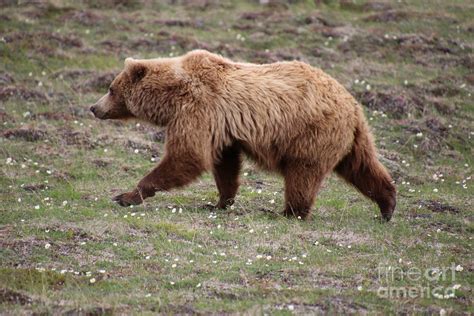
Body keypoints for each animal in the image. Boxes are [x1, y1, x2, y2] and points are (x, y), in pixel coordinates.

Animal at [90, 50, 396, 221]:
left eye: (111, 88)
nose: (94, 107)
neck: (172, 96)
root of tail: (353, 105)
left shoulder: (198, 109)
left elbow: (187, 156)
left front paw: (127, 195)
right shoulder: (222, 128)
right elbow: (224, 164)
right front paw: (219, 202)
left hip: (311, 134)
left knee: (302, 175)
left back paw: (286, 213)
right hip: (351, 138)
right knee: (363, 167)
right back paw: (388, 205)